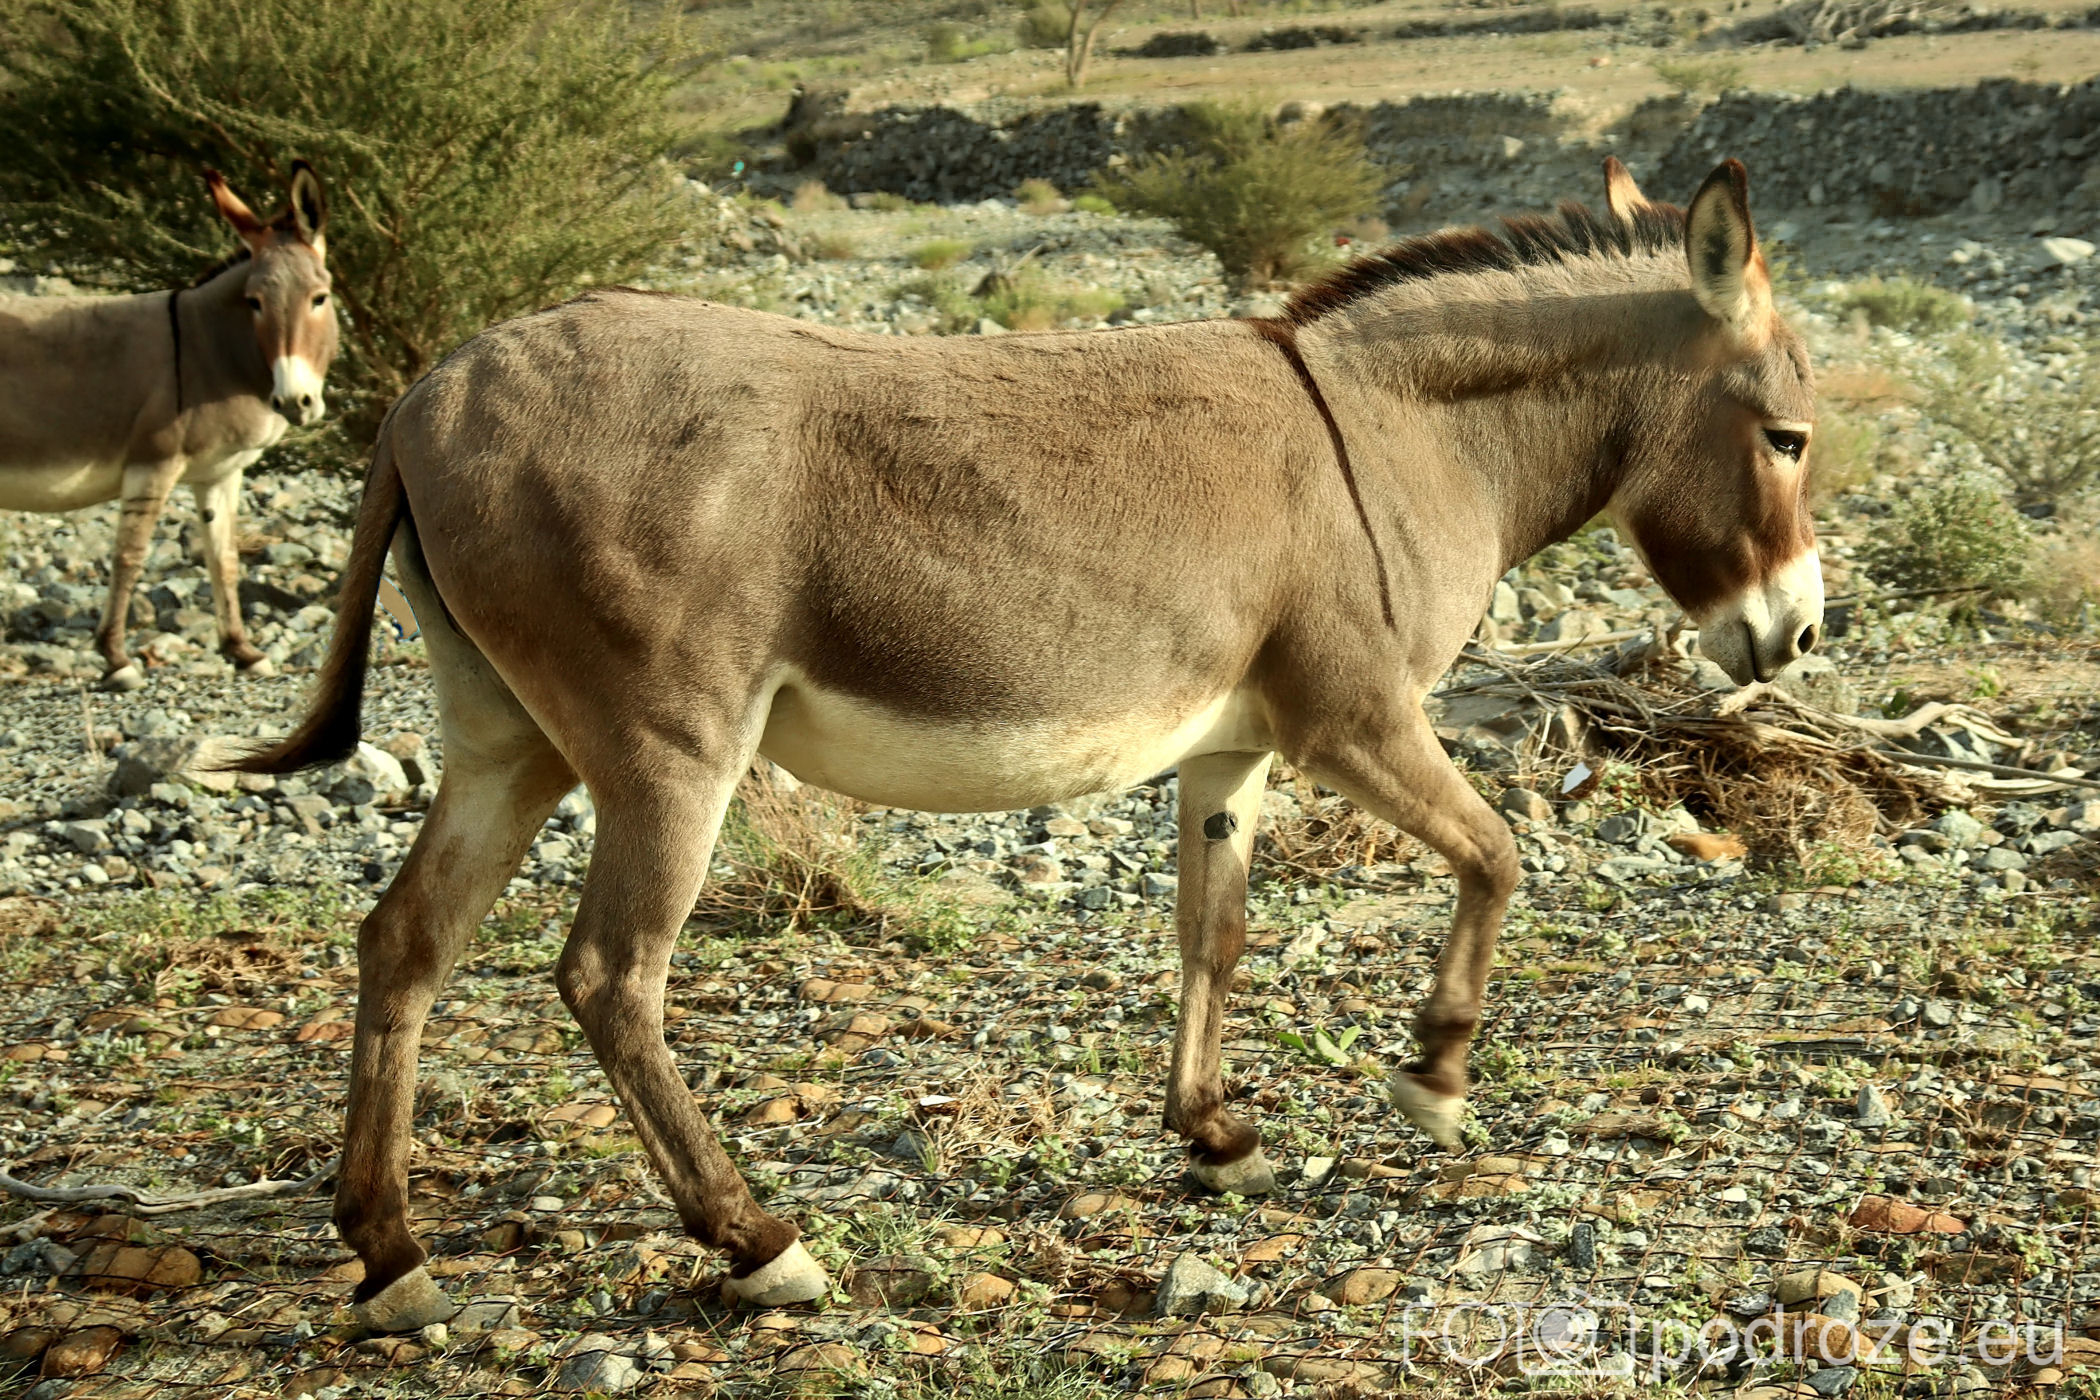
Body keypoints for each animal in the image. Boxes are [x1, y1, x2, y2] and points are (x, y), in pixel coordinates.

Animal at [0, 162, 338, 688]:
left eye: (319, 298)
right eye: (254, 302)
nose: (294, 402)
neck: (209, 349)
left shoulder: (220, 473)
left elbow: (224, 558)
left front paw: (244, 651)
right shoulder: (152, 465)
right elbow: (129, 556)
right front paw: (116, 659)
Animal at [240, 158, 1820, 1327]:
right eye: (1790, 438)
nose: (1800, 637)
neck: (1396, 436)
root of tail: (424, 394)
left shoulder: (1234, 749)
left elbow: (1213, 932)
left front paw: (1216, 1137)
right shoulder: (1354, 717)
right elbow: (1496, 855)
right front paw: (1430, 1076)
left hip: (509, 738)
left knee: (406, 941)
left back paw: (391, 1254)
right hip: (665, 748)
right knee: (610, 976)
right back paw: (757, 1242)